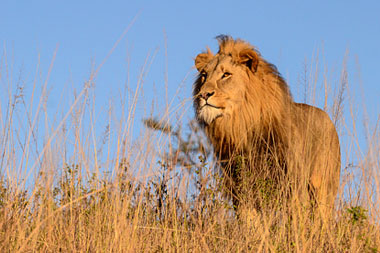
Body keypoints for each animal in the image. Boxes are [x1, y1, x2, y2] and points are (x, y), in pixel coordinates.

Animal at [194, 35, 340, 217]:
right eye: (204, 75)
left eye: (226, 74)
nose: (203, 95)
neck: (242, 126)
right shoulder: (241, 190)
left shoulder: (294, 186)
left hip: (324, 188)